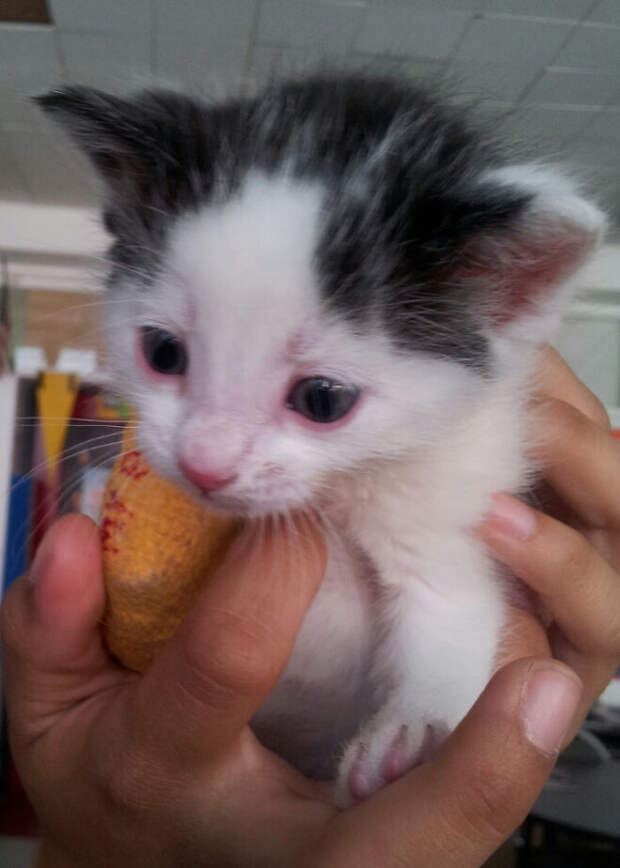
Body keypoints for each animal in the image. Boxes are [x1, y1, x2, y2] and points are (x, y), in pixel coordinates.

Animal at [38, 78, 604, 804]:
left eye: (323, 400)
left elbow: (448, 608)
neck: (343, 489)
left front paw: (408, 736)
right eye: (162, 352)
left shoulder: (457, 496)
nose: (204, 466)